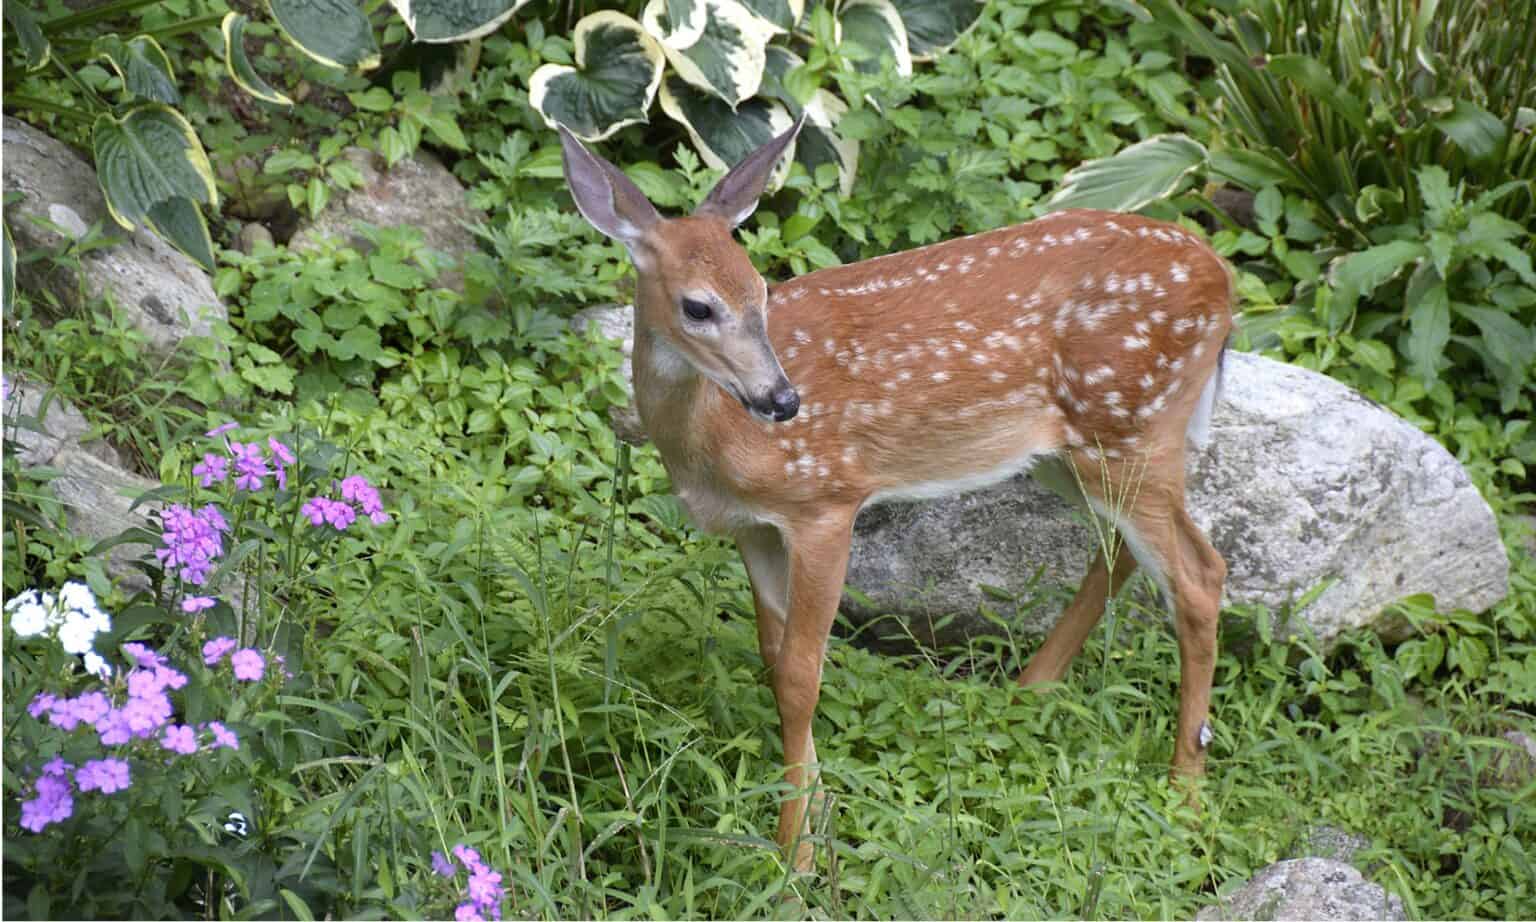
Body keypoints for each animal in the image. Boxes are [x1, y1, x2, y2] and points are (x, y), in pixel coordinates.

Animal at [559, 118, 1233, 873]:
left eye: (761, 291)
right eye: (698, 306)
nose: (783, 400)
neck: (714, 443)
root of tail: (1222, 277)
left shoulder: (826, 500)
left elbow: (801, 676)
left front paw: (795, 859)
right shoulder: (754, 527)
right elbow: (774, 657)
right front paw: (818, 813)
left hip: (1132, 422)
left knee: (1200, 574)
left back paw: (1185, 792)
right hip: (1075, 448)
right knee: (1128, 552)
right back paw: (1029, 690)